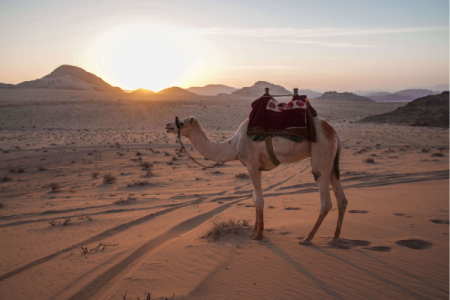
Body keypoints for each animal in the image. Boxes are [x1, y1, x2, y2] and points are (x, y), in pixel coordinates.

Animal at [164, 102, 348, 244]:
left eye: (182, 122)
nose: (167, 125)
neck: (234, 144)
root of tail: (334, 133)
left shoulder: (252, 165)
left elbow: (259, 199)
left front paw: (258, 235)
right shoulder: (254, 167)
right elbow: (254, 198)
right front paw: (254, 227)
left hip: (321, 155)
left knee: (325, 199)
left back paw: (307, 238)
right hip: (332, 163)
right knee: (342, 199)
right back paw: (335, 236)